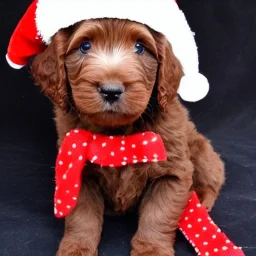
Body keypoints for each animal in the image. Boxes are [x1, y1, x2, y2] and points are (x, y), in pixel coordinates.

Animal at [31, 18, 225, 256]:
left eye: (139, 47)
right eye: (85, 46)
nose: (111, 91)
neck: (117, 135)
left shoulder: (172, 171)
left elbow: (158, 214)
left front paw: (152, 250)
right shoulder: (76, 171)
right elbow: (82, 216)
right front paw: (76, 248)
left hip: (200, 149)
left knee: (212, 175)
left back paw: (200, 197)